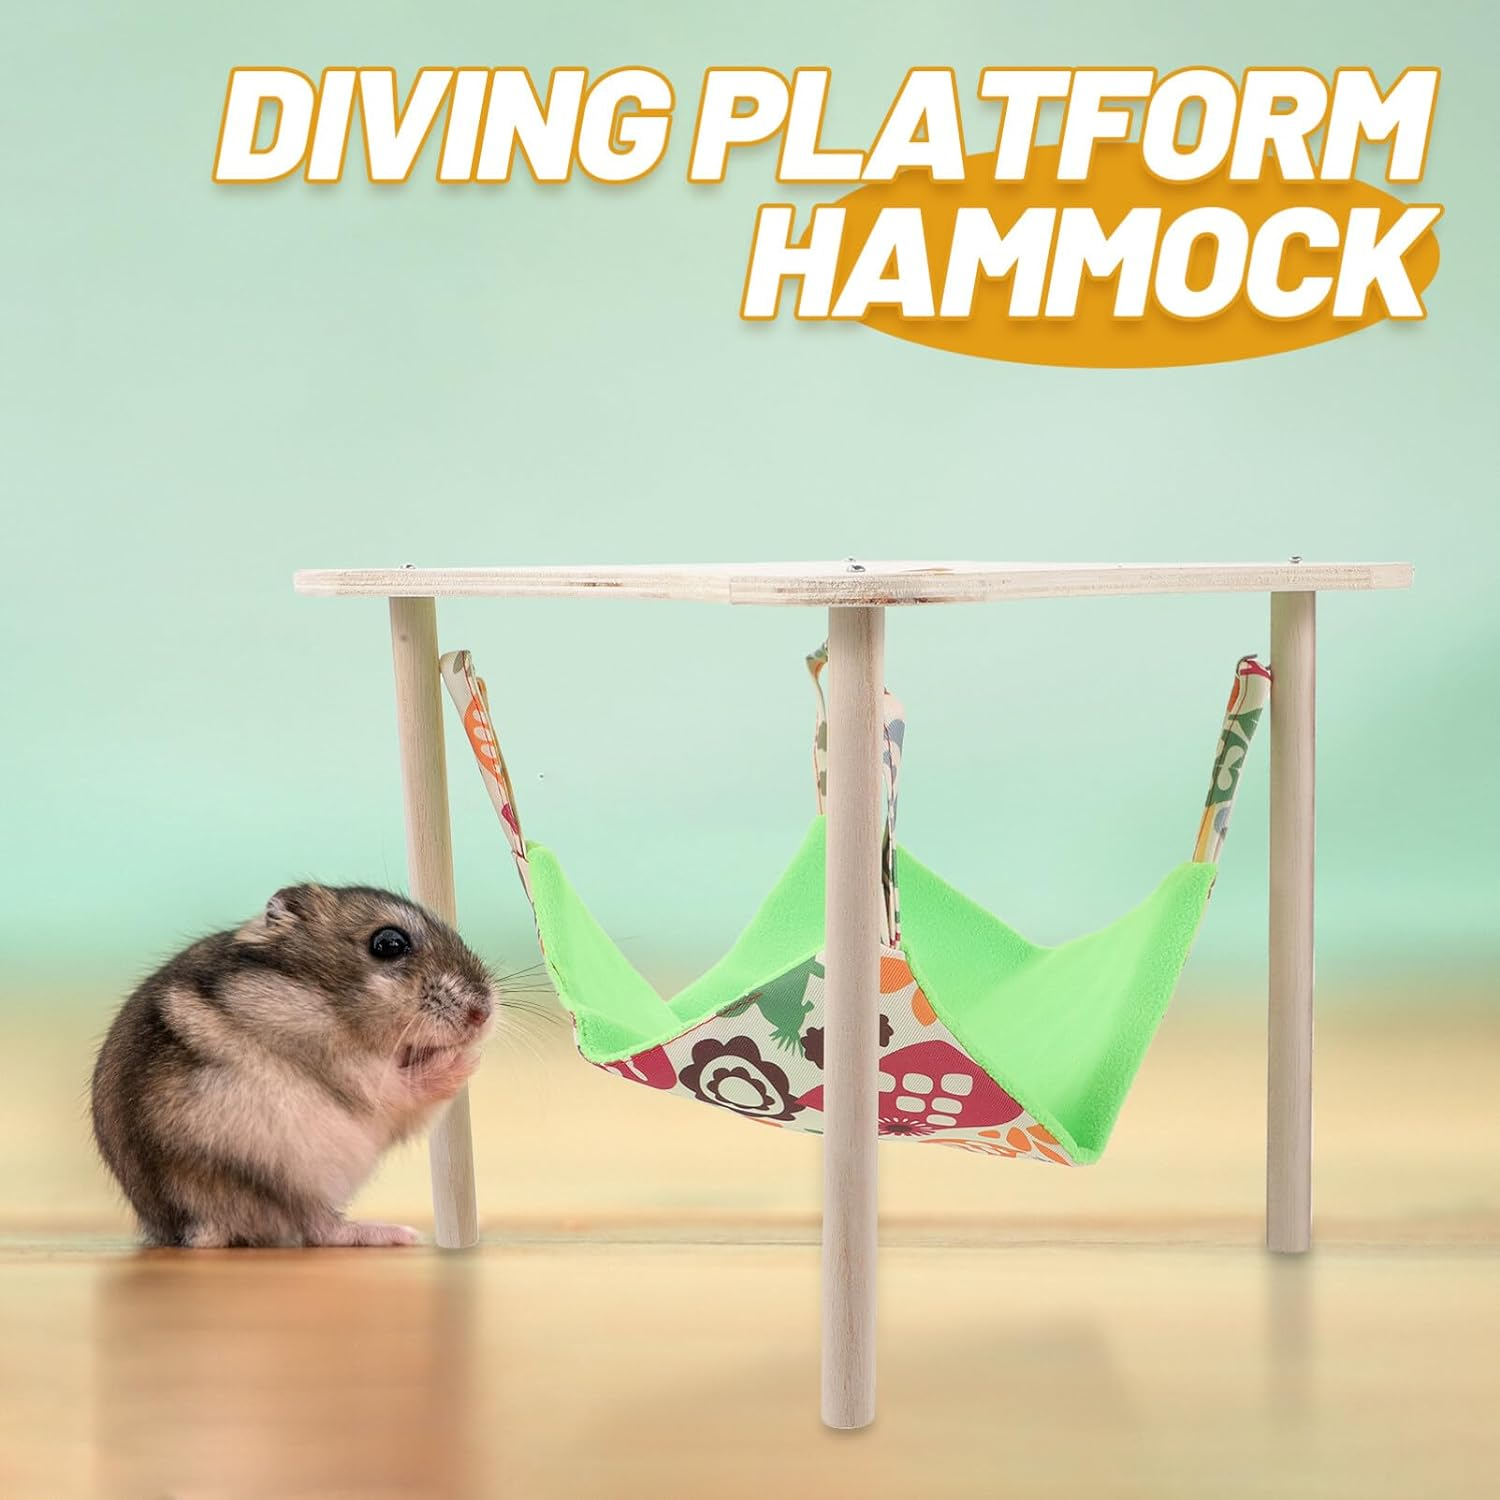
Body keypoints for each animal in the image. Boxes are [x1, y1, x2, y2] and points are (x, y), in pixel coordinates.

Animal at [91, 883, 497, 1248]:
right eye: (389, 943)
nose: (483, 1014)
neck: (325, 1000)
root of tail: (194, 1225)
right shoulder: (341, 1062)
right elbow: (391, 1082)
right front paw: (464, 1060)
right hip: (279, 1161)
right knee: (320, 1228)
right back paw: (398, 1234)